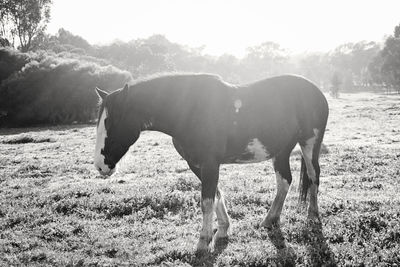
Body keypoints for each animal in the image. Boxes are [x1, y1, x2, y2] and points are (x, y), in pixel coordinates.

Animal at [93, 73, 328, 253]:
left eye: (112, 123)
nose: (100, 166)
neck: (189, 110)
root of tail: (316, 91)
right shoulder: (197, 165)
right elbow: (216, 194)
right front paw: (223, 230)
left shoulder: (209, 164)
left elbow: (206, 201)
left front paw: (203, 242)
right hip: (280, 152)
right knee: (284, 182)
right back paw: (270, 220)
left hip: (309, 145)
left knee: (314, 176)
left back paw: (313, 216)